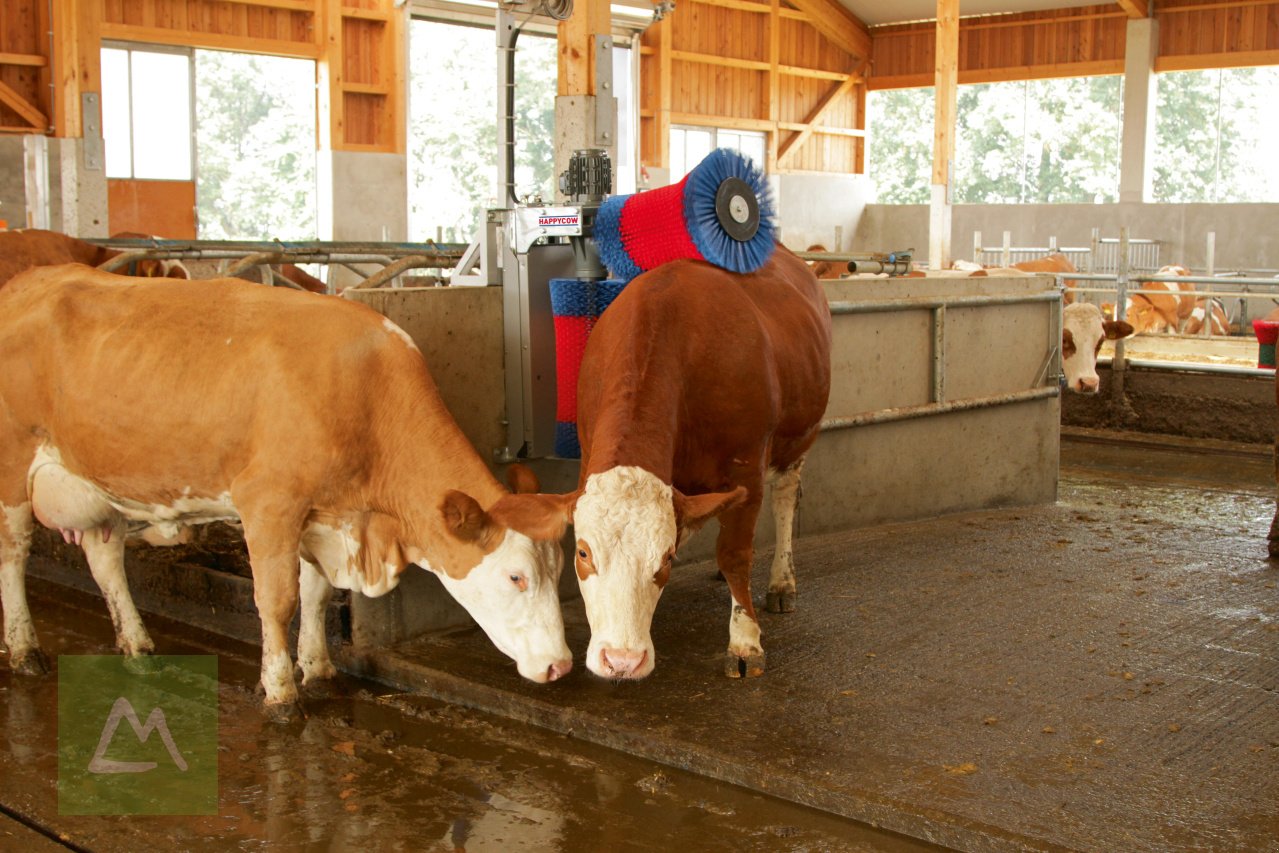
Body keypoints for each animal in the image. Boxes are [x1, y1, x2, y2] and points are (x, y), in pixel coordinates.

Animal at [0, 267, 572, 716]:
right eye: (516, 576)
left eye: (559, 569)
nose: (560, 666)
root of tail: (30, 281)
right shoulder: (269, 502)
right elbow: (278, 600)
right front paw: (280, 693)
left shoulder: (321, 515)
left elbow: (315, 595)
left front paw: (317, 669)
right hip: (12, 469)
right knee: (13, 554)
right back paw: (24, 650)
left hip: (99, 483)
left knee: (106, 562)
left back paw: (137, 645)